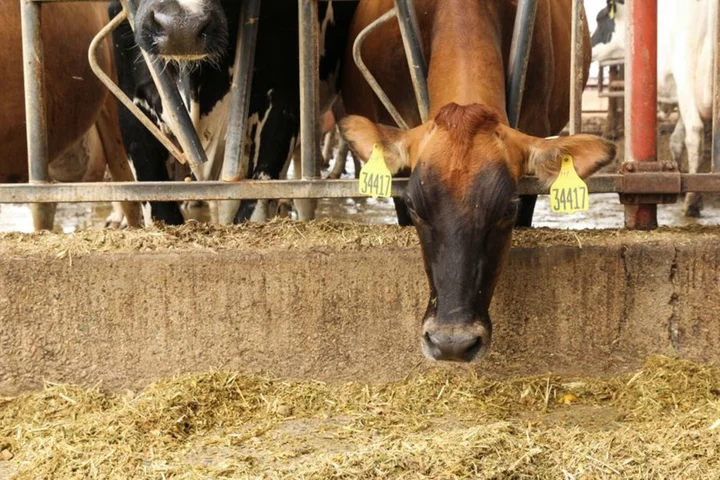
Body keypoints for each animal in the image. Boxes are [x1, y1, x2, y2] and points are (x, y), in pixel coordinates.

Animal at [592, 0, 716, 216]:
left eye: (600, 19)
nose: (589, 48)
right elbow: (675, 140)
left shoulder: (682, 88)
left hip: (686, 75)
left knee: (695, 132)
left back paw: (691, 203)